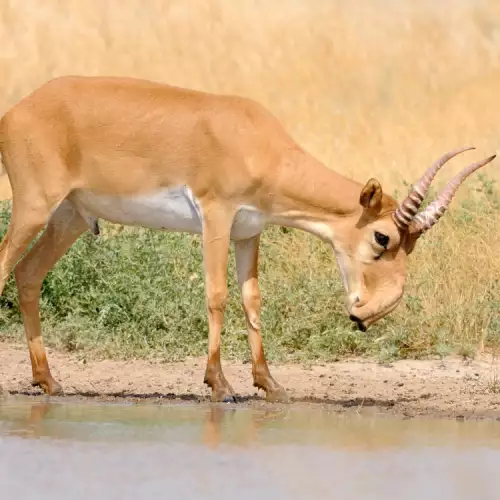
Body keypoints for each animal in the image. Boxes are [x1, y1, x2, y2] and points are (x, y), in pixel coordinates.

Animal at [0, 76, 494, 402]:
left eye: (411, 245)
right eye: (382, 236)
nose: (366, 314)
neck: (256, 141)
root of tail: (17, 111)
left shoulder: (248, 232)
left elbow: (252, 300)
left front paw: (269, 383)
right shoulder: (216, 215)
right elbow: (217, 295)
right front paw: (220, 383)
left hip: (69, 218)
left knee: (27, 275)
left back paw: (48, 380)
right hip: (34, 208)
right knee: (7, 266)